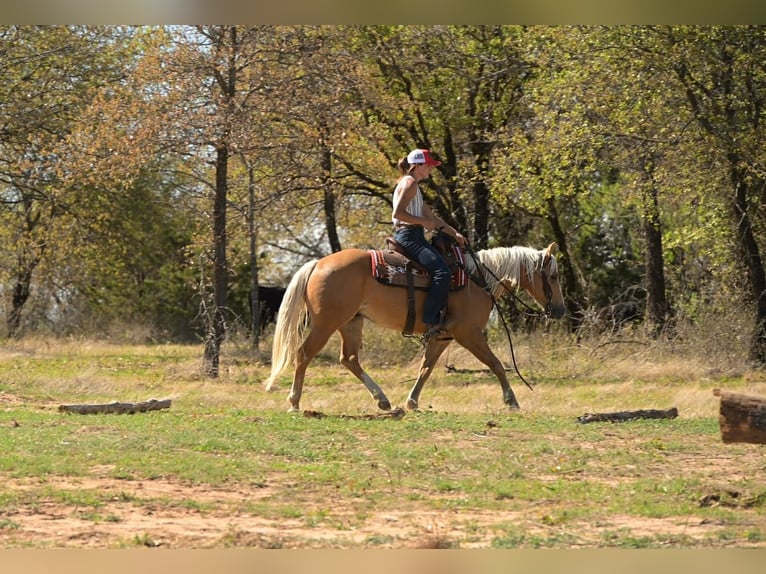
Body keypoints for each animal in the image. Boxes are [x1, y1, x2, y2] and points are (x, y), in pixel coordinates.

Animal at [263, 242, 566, 412]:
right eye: (553, 275)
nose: (560, 310)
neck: (478, 279)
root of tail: (318, 264)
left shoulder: (442, 337)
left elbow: (425, 369)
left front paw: (412, 402)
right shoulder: (468, 333)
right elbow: (496, 364)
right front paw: (511, 400)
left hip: (351, 322)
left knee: (349, 359)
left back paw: (383, 400)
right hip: (327, 323)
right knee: (303, 354)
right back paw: (294, 401)